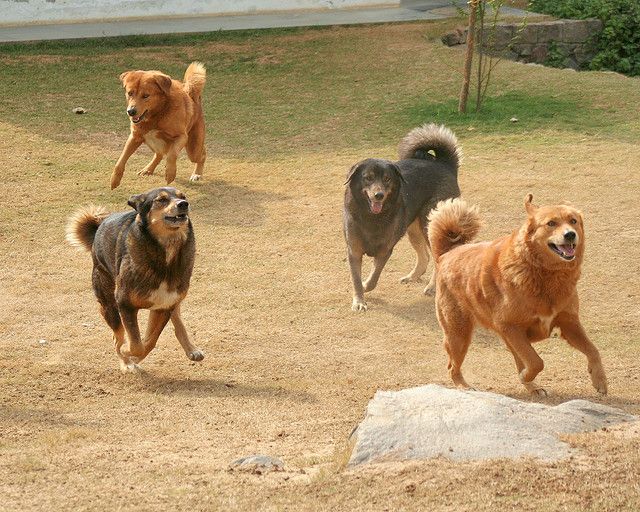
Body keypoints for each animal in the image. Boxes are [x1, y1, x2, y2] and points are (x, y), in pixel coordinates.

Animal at [67, 186, 202, 370]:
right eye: (161, 200)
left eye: (183, 197)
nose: (183, 204)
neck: (165, 254)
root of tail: (99, 226)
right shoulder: (125, 304)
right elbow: (135, 344)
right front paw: (127, 354)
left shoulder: (163, 306)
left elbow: (148, 342)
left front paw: (134, 356)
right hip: (109, 304)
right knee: (117, 336)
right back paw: (125, 359)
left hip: (174, 297)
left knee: (176, 316)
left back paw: (191, 349)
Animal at [111, 61, 206, 189]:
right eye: (130, 93)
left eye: (146, 96)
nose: (131, 111)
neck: (157, 114)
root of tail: (192, 95)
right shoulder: (135, 137)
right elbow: (120, 161)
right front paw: (114, 180)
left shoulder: (181, 137)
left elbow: (172, 155)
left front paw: (170, 173)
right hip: (150, 141)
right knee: (159, 154)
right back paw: (148, 169)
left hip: (193, 150)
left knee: (202, 155)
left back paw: (197, 174)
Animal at [342, 123, 462, 312]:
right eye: (368, 178)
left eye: (387, 179)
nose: (378, 195)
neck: (371, 217)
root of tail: (445, 164)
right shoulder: (353, 251)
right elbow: (356, 279)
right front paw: (359, 301)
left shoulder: (385, 251)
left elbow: (373, 278)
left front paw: (366, 285)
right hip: (413, 229)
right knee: (425, 256)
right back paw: (412, 276)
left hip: (429, 226)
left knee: (438, 258)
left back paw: (431, 287)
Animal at [428, 193, 608, 396]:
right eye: (551, 223)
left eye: (573, 221)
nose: (570, 234)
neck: (543, 274)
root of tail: (446, 254)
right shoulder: (510, 327)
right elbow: (537, 362)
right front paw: (525, 377)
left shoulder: (569, 324)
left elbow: (593, 350)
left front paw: (599, 380)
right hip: (459, 335)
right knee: (452, 367)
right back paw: (464, 386)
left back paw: (532, 387)